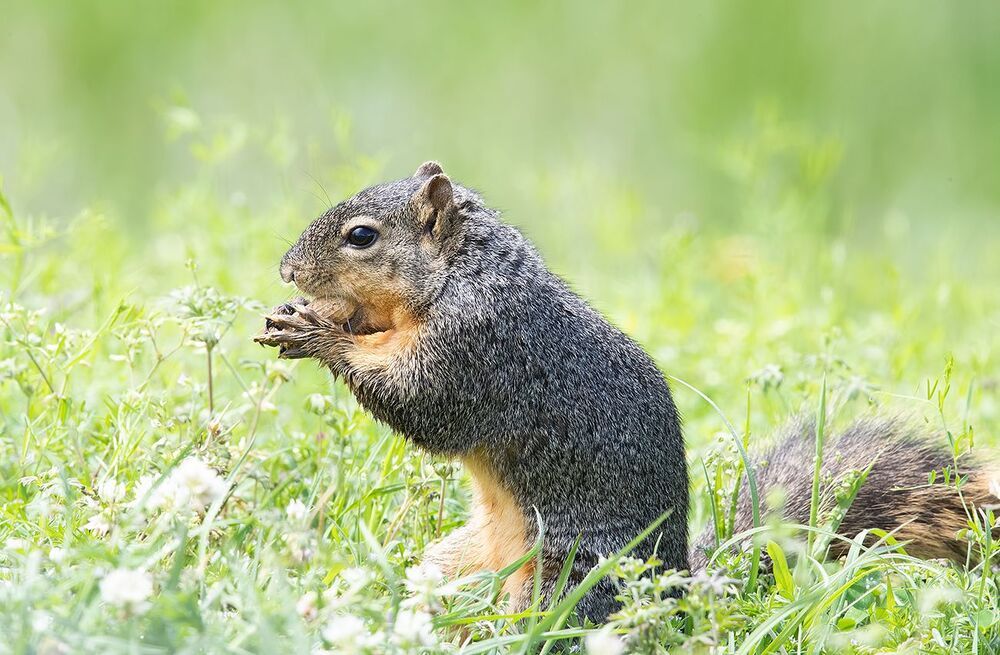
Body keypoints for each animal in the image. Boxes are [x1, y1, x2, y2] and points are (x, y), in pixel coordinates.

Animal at [255, 161, 998, 623]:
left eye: (362, 236)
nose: (287, 268)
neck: (462, 276)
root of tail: (676, 592)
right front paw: (307, 315)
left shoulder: (480, 351)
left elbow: (422, 404)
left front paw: (320, 334)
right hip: (455, 562)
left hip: (568, 576)